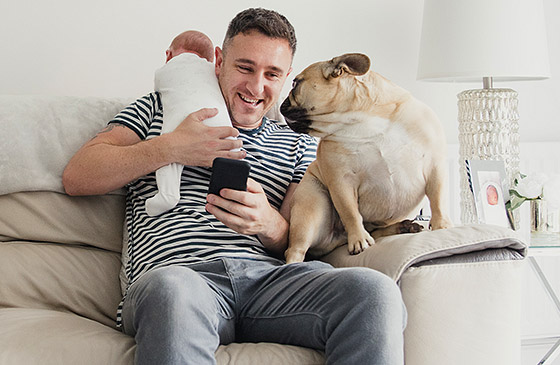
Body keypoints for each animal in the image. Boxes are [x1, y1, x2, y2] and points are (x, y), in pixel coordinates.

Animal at [282, 52, 452, 262]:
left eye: (295, 83)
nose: (282, 104)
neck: (359, 118)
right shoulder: (341, 180)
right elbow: (350, 212)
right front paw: (359, 239)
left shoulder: (434, 164)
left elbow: (438, 198)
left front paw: (441, 225)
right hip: (311, 207)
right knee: (296, 248)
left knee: (376, 230)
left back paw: (403, 227)